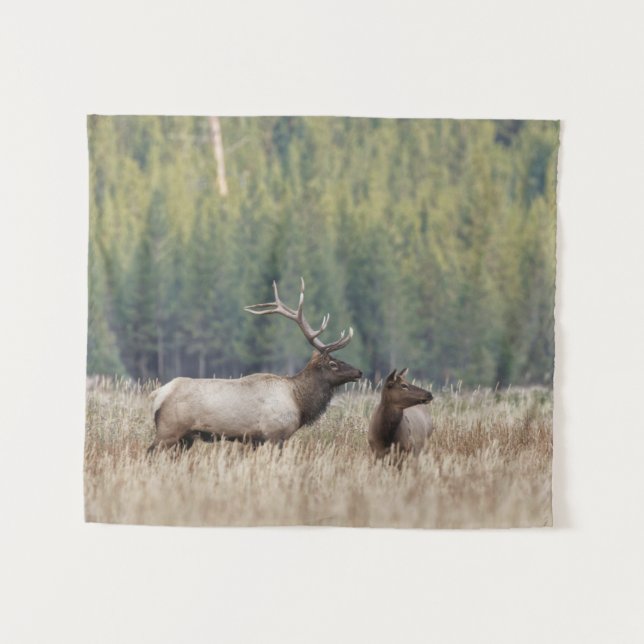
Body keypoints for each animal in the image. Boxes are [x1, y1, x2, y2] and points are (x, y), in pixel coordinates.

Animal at [147, 279, 362, 453]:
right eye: (333, 364)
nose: (359, 372)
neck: (299, 402)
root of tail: (158, 395)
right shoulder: (275, 435)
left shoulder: (254, 441)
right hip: (169, 431)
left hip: (185, 438)